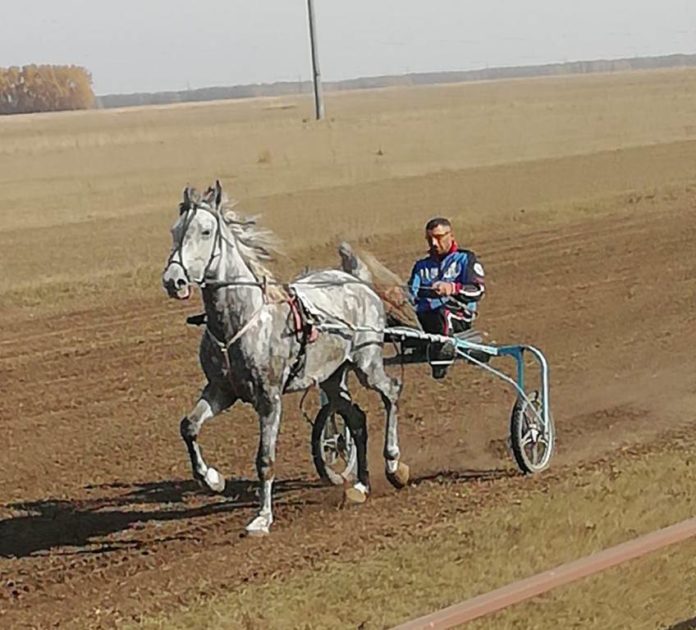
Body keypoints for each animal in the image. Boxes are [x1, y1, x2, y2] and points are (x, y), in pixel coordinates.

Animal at [161, 180, 408, 536]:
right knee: (357, 419)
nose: (173, 280)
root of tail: (357, 280)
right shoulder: (221, 390)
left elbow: (265, 459)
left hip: (367, 363)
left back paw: (392, 464)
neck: (241, 321)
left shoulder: (269, 398)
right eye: (175, 230)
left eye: (206, 231)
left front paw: (262, 518)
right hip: (332, 376)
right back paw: (361, 485)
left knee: (391, 393)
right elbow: (189, 427)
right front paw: (212, 479)